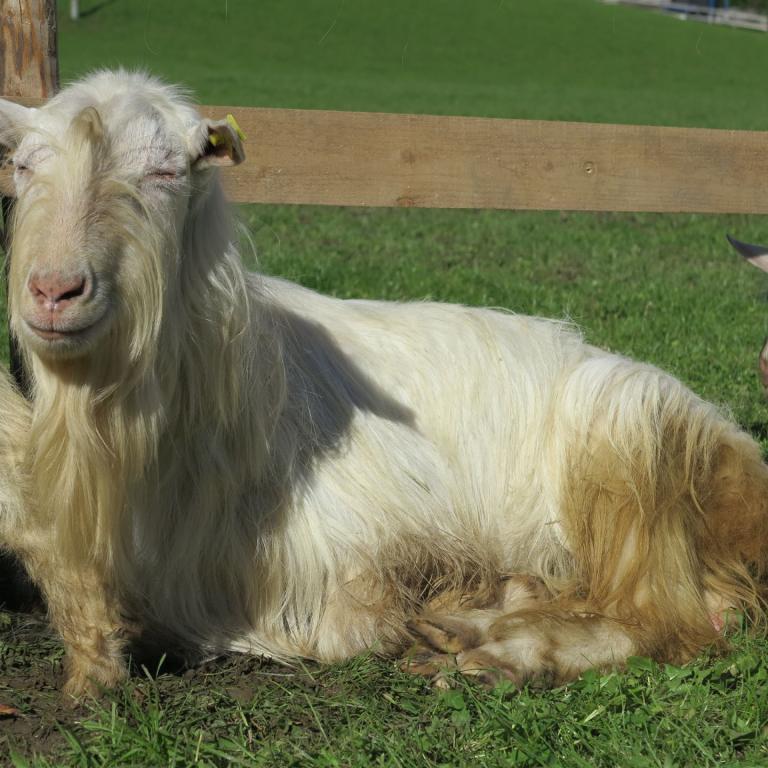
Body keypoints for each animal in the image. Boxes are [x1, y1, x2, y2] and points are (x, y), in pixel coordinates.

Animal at [1, 70, 767, 697]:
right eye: (24, 165)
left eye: (167, 171)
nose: (54, 290)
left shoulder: (349, 559)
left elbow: (351, 626)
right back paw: (475, 623)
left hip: (625, 429)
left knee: (674, 619)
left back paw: (504, 652)